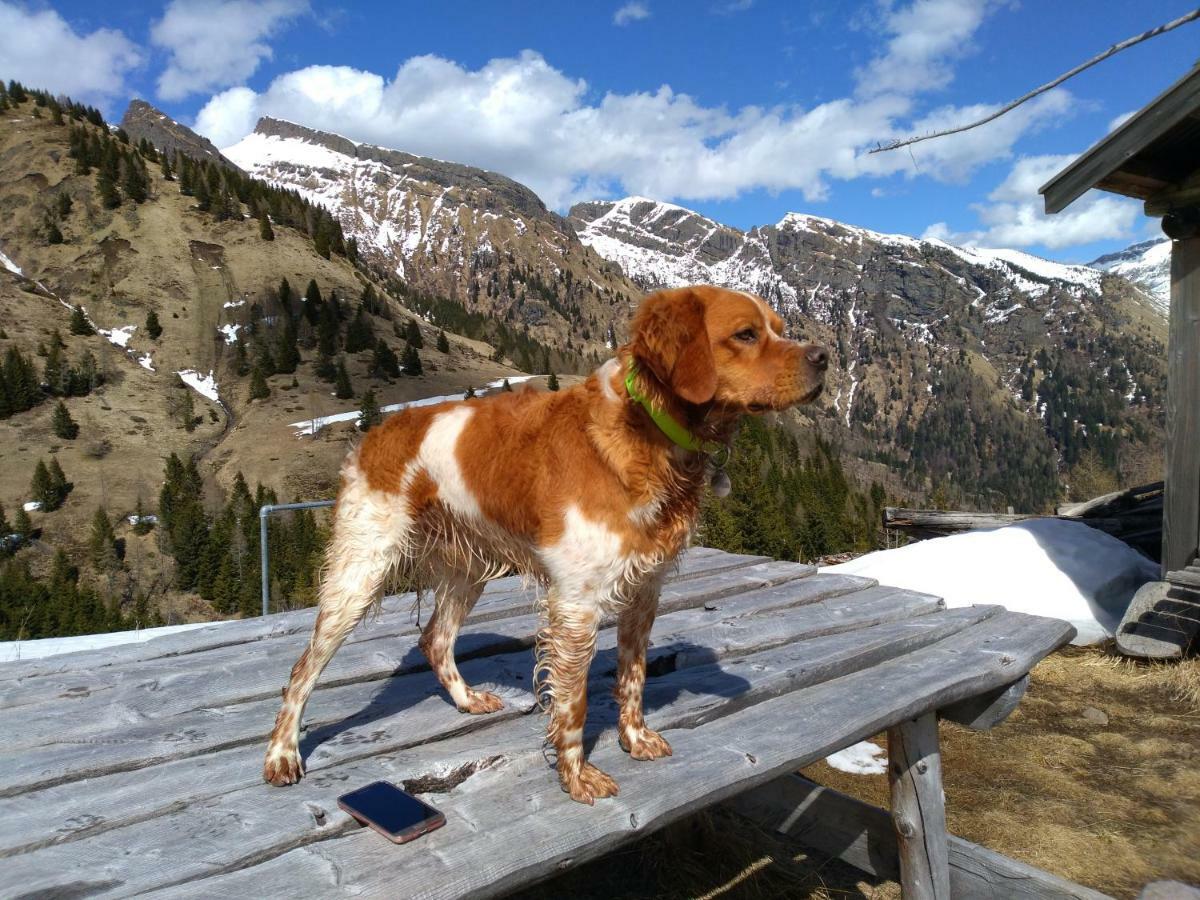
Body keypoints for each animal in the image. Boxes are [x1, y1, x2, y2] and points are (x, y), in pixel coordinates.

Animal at [262, 286, 825, 801]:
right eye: (745, 334)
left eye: (778, 327)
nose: (823, 357)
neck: (647, 432)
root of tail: (376, 432)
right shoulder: (575, 604)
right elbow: (573, 702)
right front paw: (577, 777)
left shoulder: (644, 591)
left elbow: (633, 676)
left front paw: (635, 738)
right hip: (360, 572)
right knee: (302, 668)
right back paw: (282, 754)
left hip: (467, 571)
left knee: (435, 640)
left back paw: (466, 701)